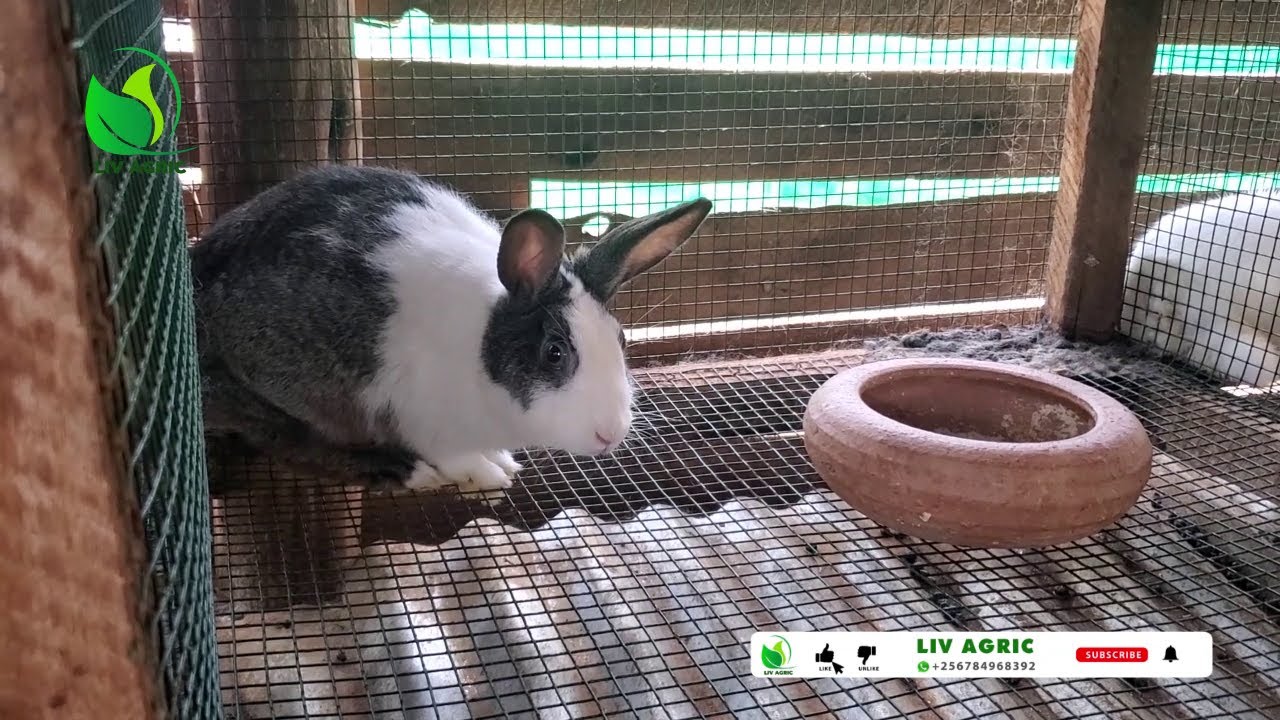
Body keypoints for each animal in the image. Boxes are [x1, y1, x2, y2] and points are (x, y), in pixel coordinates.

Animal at [191, 165, 712, 491]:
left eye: (620, 339)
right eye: (554, 352)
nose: (610, 435)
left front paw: (502, 460)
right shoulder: (417, 414)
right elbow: (453, 454)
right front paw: (488, 474)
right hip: (265, 398)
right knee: (291, 445)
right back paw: (404, 471)